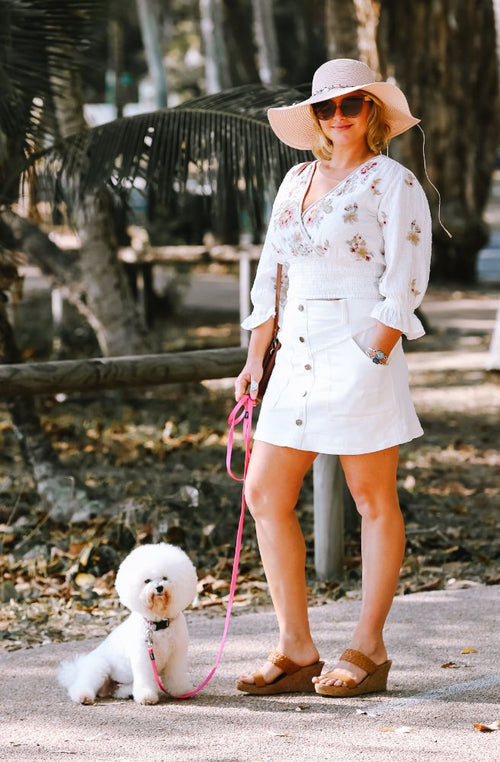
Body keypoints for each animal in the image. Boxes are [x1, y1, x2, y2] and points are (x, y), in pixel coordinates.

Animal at [58, 544, 197, 704]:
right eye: (147, 581)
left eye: (165, 578)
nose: (159, 588)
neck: (157, 624)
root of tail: (78, 669)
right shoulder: (144, 657)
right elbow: (145, 679)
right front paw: (146, 697)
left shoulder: (176, 656)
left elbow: (176, 676)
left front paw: (182, 691)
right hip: (99, 667)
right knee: (83, 684)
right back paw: (83, 696)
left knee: (117, 690)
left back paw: (126, 693)